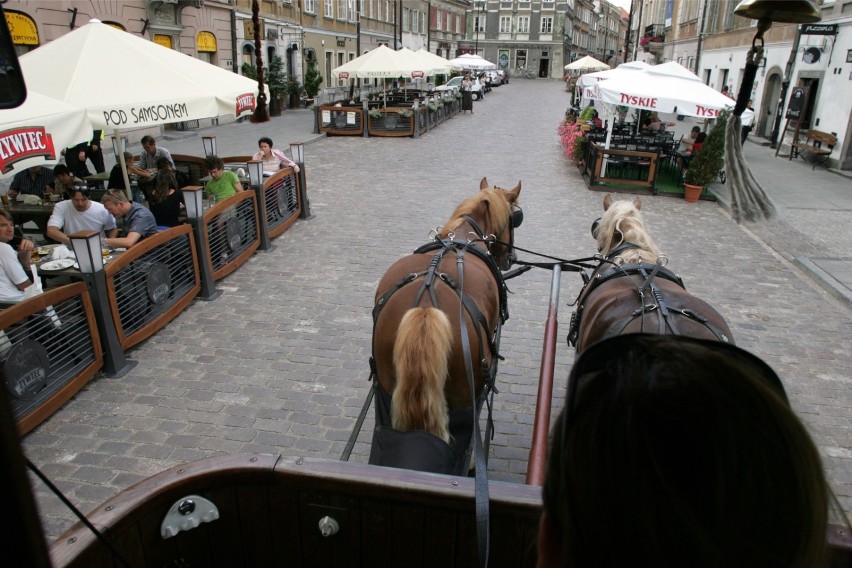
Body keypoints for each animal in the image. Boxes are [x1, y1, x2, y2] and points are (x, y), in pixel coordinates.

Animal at [372, 179, 524, 474]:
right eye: (515, 218)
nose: (510, 257)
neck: (463, 235)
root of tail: (426, 306)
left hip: (385, 390)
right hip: (467, 399)